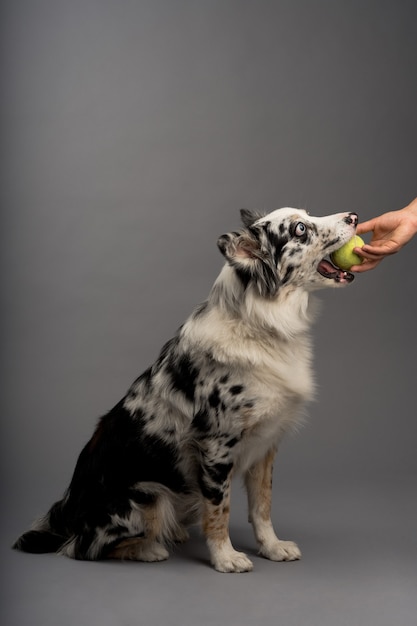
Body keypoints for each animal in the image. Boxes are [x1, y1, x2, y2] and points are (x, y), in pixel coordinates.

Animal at [13, 206, 358, 572]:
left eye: (305, 216)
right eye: (300, 229)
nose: (354, 216)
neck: (262, 323)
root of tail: (67, 509)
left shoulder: (265, 445)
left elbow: (262, 506)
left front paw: (272, 547)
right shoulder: (217, 447)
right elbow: (220, 510)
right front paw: (225, 557)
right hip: (148, 498)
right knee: (83, 547)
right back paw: (148, 548)